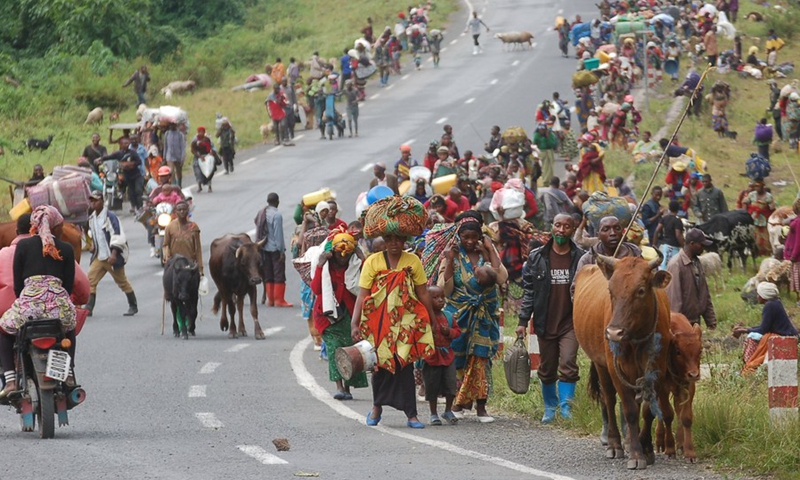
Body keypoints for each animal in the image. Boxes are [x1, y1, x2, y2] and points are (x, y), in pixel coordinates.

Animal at [576, 256, 676, 470]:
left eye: (640, 290)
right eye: (611, 290)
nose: (614, 333)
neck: (635, 339)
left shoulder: (656, 370)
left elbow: (647, 410)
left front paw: (646, 448)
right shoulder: (615, 370)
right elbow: (629, 410)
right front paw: (637, 455)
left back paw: (630, 440)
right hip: (601, 366)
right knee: (609, 400)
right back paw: (615, 444)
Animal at [656, 314, 700, 464]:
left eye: (700, 350)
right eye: (678, 352)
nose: (694, 374)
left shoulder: (689, 387)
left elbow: (685, 417)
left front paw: (690, 451)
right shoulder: (661, 388)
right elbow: (667, 415)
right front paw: (670, 448)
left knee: (678, 410)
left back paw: (680, 443)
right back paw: (660, 440)